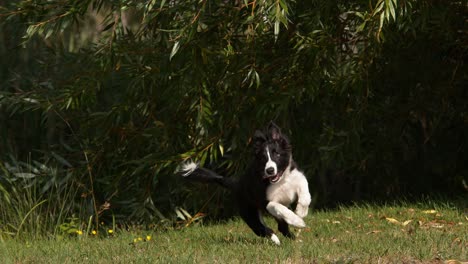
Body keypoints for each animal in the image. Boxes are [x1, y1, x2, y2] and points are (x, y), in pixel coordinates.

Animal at [180, 122, 310, 244]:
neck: (280, 181)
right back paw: (275, 240)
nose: (270, 170)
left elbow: (305, 195)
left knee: (281, 227)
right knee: (261, 229)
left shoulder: (297, 177)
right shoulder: (263, 200)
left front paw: (300, 212)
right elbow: (277, 206)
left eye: (277, 154)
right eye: (263, 158)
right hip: (248, 211)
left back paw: (295, 241)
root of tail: (237, 184)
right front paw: (297, 221)